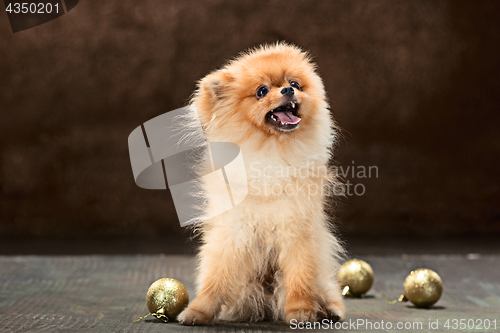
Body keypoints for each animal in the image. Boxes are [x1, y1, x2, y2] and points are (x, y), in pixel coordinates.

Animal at [178, 42, 346, 324]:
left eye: (295, 83)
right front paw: (198, 311)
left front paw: (301, 311)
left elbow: (300, 275)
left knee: (324, 287)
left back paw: (331, 309)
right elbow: (215, 275)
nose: (288, 90)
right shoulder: (232, 230)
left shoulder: (297, 228)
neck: (271, 150)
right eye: (262, 91)